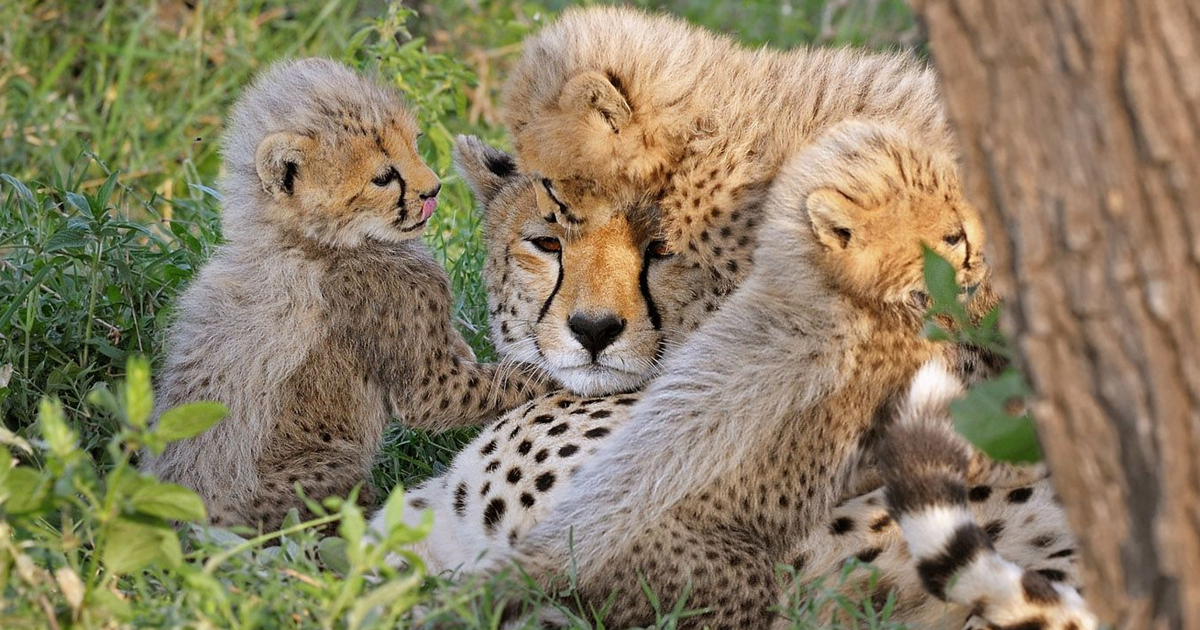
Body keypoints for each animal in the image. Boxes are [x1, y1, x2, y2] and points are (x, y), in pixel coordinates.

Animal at [141, 58, 549, 530]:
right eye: (383, 177)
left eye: (415, 144)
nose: (433, 190)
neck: (315, 241)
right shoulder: (424, 380)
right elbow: (503, 383)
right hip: (332, 465)